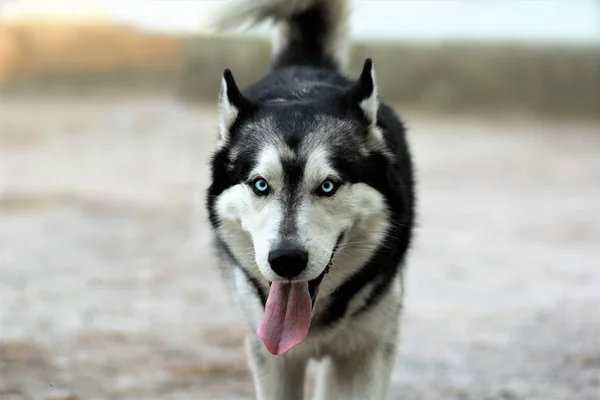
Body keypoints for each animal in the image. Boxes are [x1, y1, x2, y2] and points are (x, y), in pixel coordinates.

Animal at [204, 0, 414, 400]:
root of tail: (305, 65)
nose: (286, 260)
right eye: (260, 185)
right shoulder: (273, 359)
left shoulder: (368, 352)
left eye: (328, 186)